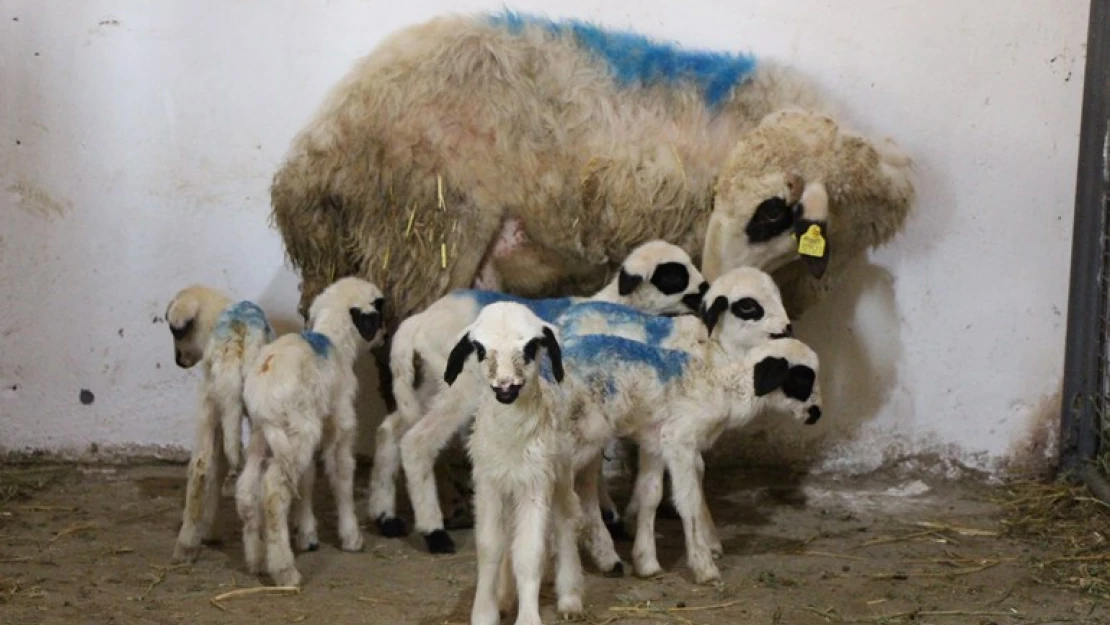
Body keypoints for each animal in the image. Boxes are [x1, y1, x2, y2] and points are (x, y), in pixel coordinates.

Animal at [167, 286, 279, 563]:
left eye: (177, 331)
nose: (179, 361)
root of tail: (235, 341)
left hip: (212, 400)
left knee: (201, 464)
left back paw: (186, 545)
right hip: (244, 411)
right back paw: (256, 555)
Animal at [234, 276, 386, 590]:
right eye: (378, 312)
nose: (385, 335)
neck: (334, 342)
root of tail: (263, 395)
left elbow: (306, 479)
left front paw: (308, 535)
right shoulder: (340, 424)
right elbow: (341, 475)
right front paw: (351, 536)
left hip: (264, 437)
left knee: (246, 489)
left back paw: (256, 559)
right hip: (298, 429)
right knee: (273, 492)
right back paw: (284, 570)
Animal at [368, 239, 705, 552]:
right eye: (674, 275)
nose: (704, 289)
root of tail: (421, 319)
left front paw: (609, 516)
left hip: (432, 383)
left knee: (390, 430)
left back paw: (386, 517)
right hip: (462, 389)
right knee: (417, 442)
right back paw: (434, 532)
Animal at [437, 299, 586, 625]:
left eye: (530, 347)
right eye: (480, 349)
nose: (505, 387)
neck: (510, 441)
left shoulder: (535, 485)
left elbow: (529, 552)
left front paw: (528, 617)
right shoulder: (488, 484)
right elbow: (489, 547)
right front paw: (485, 612)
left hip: (561, 474)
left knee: (565, 522)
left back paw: (570, 599)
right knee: (508, 538)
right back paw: (505, 598)